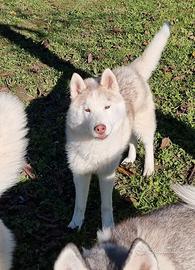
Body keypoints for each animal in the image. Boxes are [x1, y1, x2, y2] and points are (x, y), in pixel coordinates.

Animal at [66, 23, 170, 230]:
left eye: (106, 107)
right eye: (87, 110)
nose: (100, 128)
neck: (94, 147)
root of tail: (130, 68)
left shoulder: (106, 176)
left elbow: (106, 206)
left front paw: (108, 227)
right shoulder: (80, 174)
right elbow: (79, 204)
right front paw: (76, 223)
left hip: (143, 126)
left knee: (147, 144)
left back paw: (148, 168)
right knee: (131, 141)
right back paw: (130, 157)